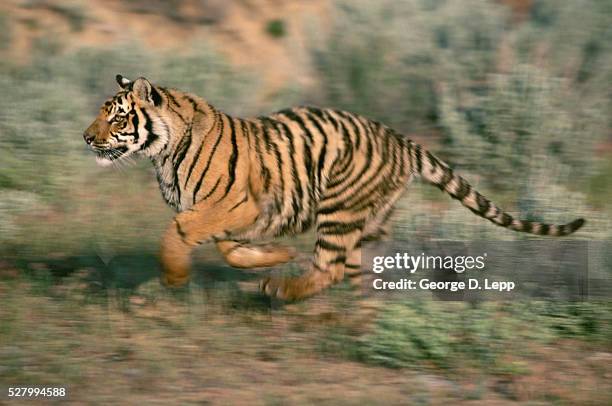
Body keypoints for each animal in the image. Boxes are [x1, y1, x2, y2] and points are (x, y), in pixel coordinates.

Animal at [81, 74, 584, 300]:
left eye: (117, 116)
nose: (86, 137)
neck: (162, 153)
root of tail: (401, 139)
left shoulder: (235, 204)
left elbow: (179, 233)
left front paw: (173, 277)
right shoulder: (239, 214)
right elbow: (229, 248)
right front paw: (273, 256)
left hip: (339, 207)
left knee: (331, 266)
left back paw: (281, 291)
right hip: (368, 220)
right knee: (356, 270)